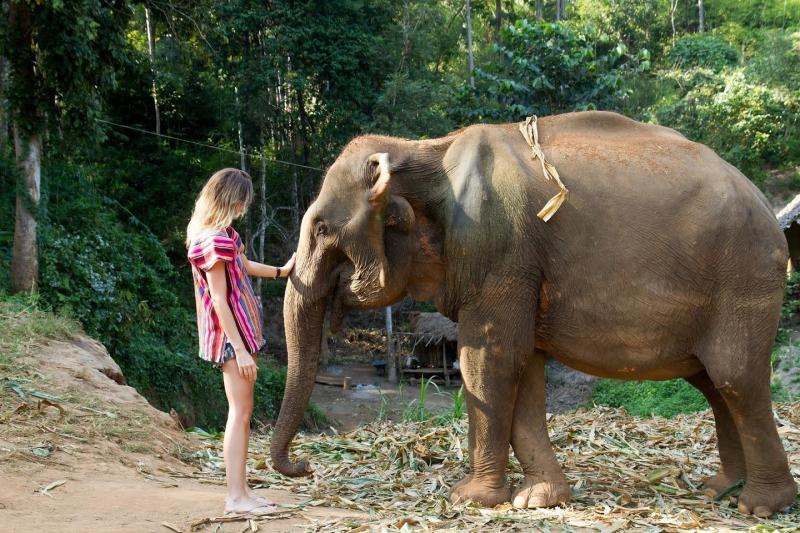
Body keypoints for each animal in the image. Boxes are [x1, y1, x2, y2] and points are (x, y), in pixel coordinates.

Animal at [270, 111, 798, 517]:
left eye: (321, 228)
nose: (304, 466)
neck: (423, 150)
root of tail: (767, 207)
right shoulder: (516, 269)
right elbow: (525, 369)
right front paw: (538, 500)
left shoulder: (499, 253)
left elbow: (487, 361)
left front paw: (470, 499)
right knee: (713, 383)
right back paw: (718, 489)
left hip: (744, 276)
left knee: (735, 377)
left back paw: (760, 506)